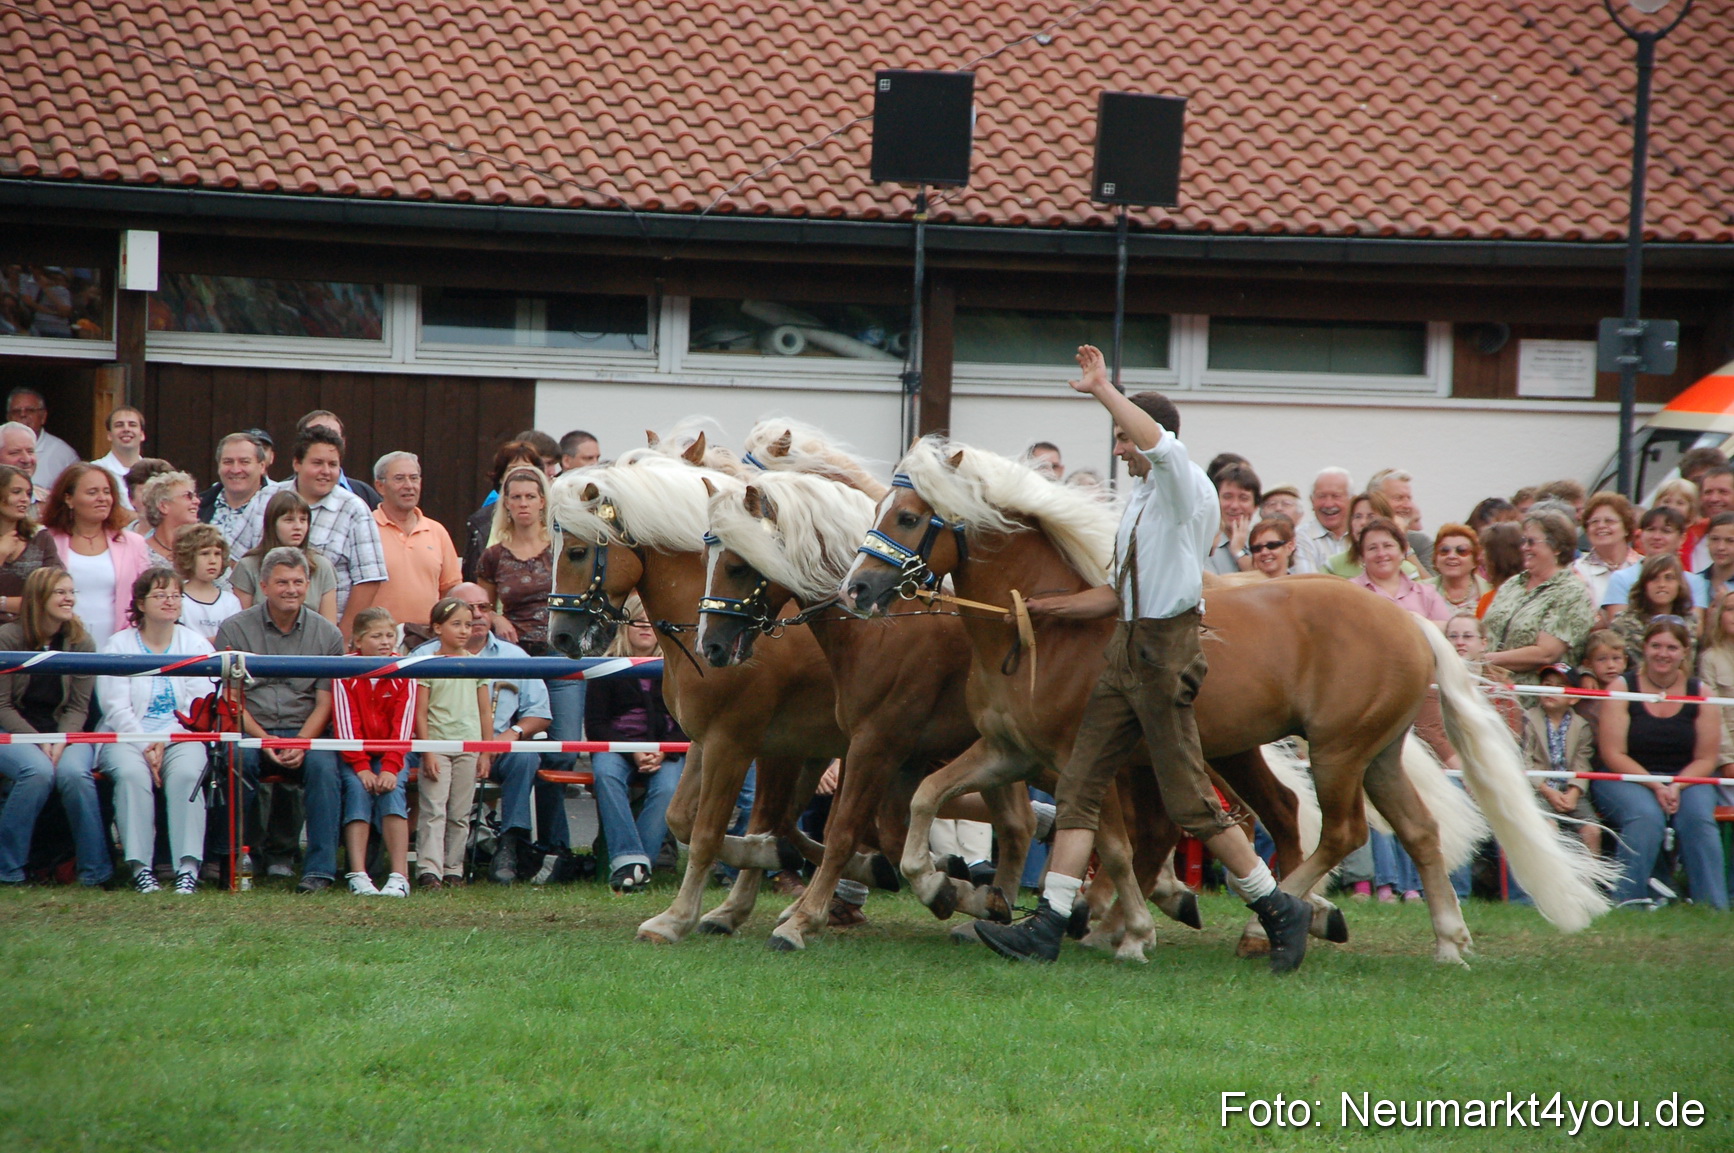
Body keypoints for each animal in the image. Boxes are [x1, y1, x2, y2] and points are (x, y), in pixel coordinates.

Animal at [546, 449, 848, 943]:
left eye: (576, 552)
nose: (561, 637)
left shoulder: (735, 744)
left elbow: (708, 831)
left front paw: (675, 919)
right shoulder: (709, 742)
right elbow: (683, 819)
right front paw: (765, 857)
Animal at [845, 437, 1615, 964]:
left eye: (908, 516)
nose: (856, 589)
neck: (1035, 631)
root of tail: (1410, 622)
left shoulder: (1076, 757)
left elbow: (1111, 845)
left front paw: (1125, 931)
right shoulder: (1012, 751)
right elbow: (929, 797)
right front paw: (936, 884)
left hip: (1336, 752)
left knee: (1337, 833)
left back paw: (1271, 922)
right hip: (1371, 754)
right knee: (1416, 832)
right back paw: (1448, 941)